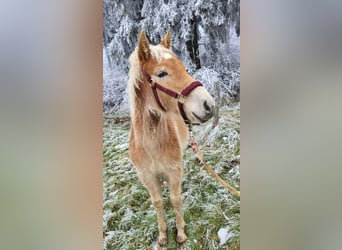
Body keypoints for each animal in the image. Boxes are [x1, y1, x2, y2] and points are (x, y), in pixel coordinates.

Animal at [127, 29, 215, 246]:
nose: (208, 105)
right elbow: (157, 202)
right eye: (162, 74)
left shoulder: (174, 170)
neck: (151, 144)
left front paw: (181, 233)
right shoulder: (147, 176)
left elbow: (176, 199)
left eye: (183, 67)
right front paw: (163, 234)